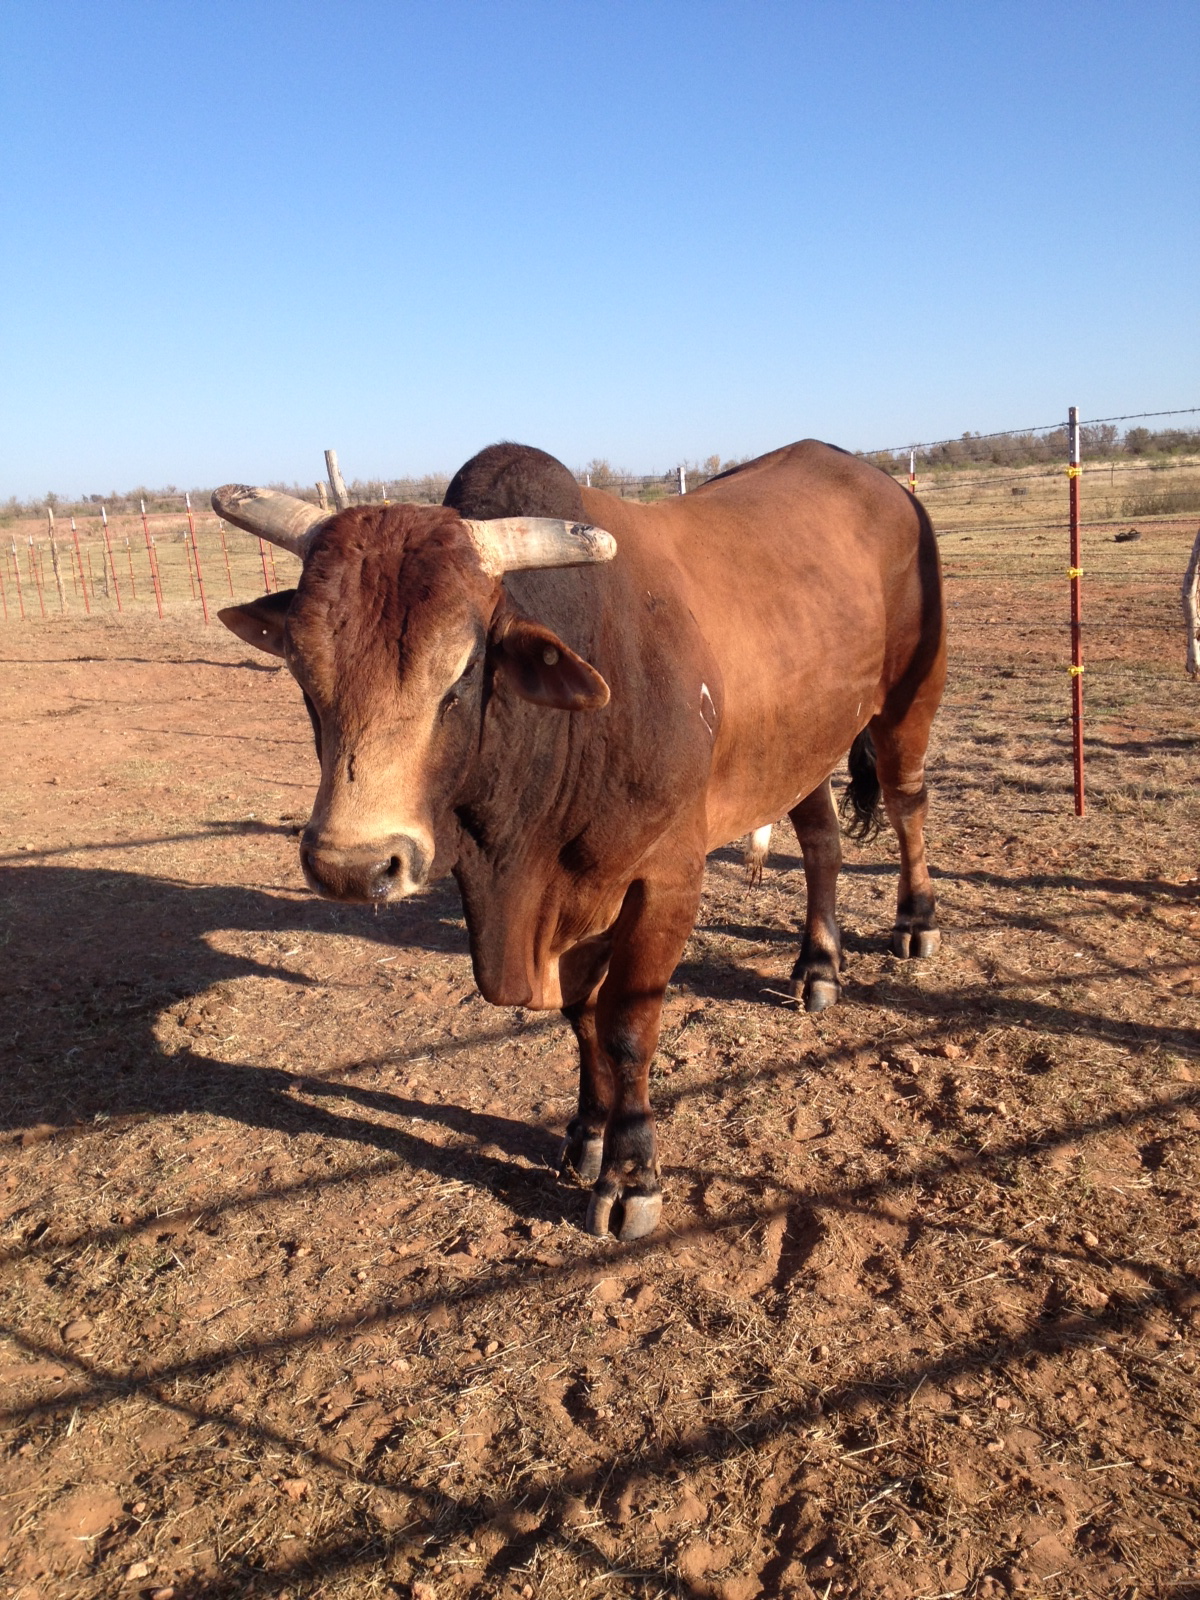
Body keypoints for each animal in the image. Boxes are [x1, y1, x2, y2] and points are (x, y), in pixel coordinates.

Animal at [214, 439, 946, 1241]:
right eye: (303, 671)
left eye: (460, 677)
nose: (352, 866)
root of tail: (870, 474)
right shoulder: (577, 892)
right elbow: (581, 1015)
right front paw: (588, 1137)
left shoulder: (665, 879)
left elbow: (627, 1024)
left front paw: (631, 1175)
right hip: (794, 742)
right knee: (820, 840)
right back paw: (817, 966)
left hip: (909, 700)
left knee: (908, 804)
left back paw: (915, 922)